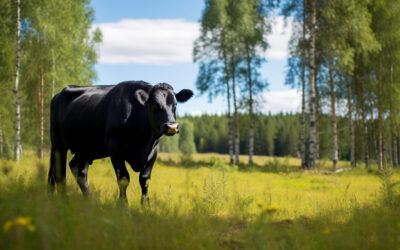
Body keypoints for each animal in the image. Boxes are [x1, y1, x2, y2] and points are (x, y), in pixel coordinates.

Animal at [47, 81, 193, 204]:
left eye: (175, 105)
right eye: (155, 105)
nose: (172, 126)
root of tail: (58, 95)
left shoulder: (153, 150)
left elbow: (144, 179)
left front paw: (146, 206)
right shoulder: (114, 147)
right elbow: (123, 179)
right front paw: (123, 206)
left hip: (85, 148)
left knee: (78, 169)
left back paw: (90, 200)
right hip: (58, 144)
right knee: (59, 174)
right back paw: (64, 200)